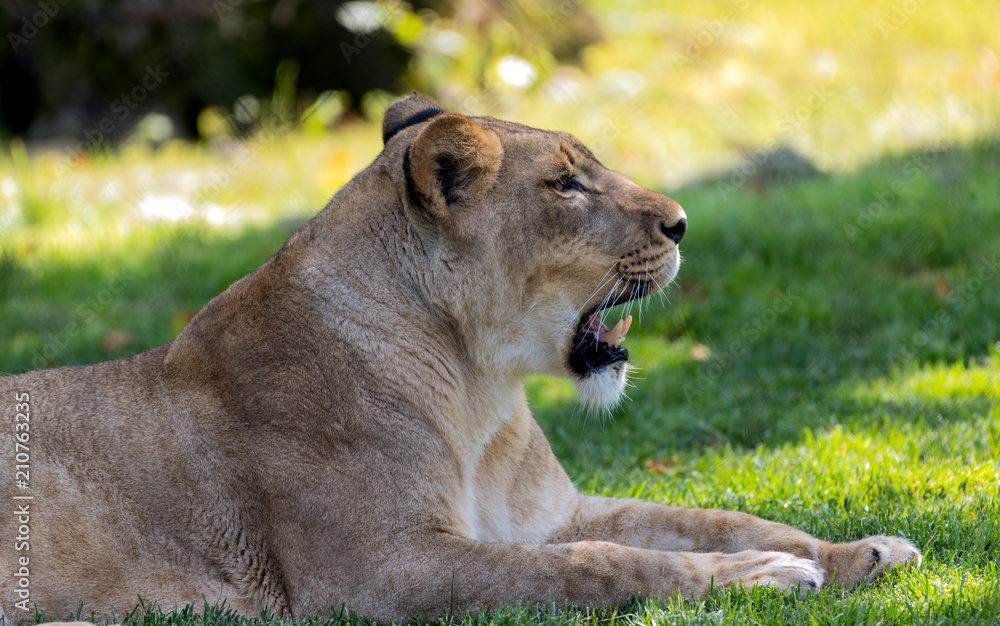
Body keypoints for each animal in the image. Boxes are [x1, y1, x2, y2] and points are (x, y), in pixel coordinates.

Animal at [0, 94, 920, 625]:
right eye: (566, 185)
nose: (682, 221)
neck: (481, 392)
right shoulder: (377, 573)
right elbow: (598, 566)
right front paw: (764, 576)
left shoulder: (552, 516)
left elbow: (709, 519)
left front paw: (855, 553)